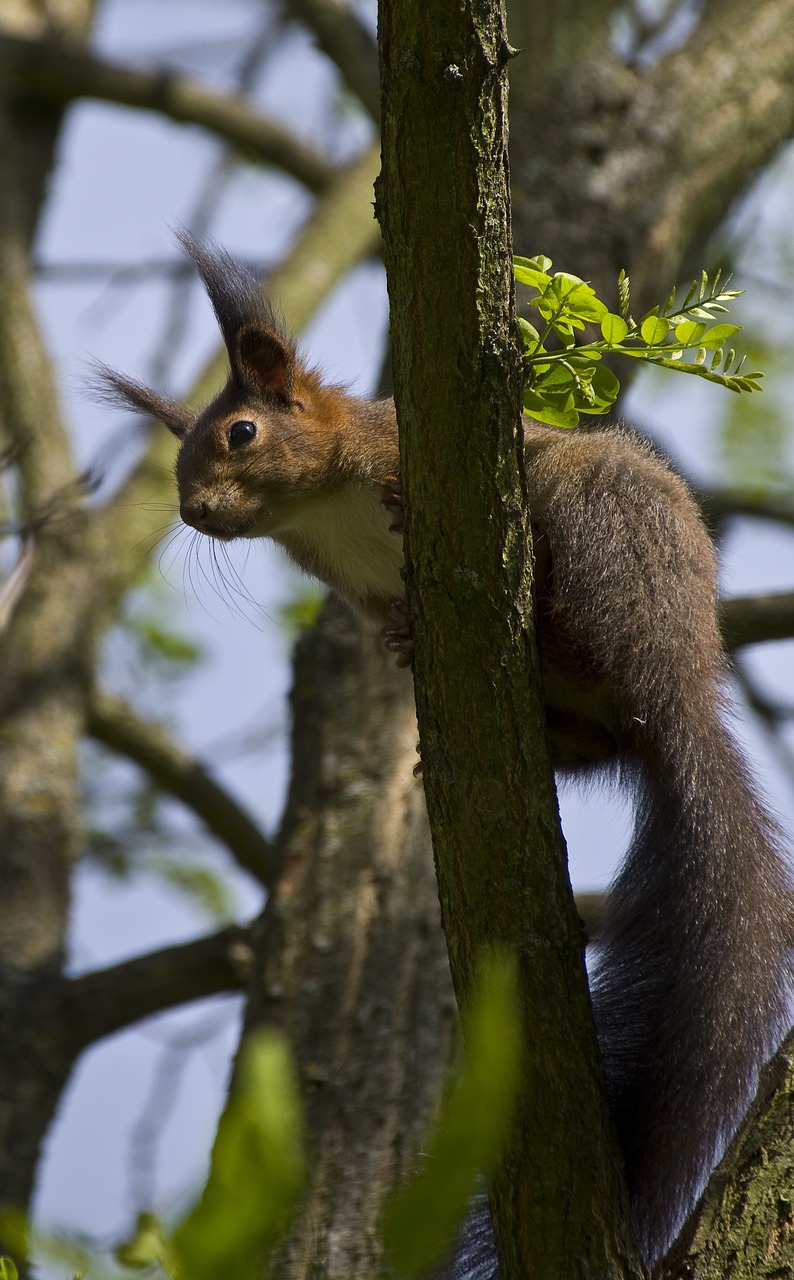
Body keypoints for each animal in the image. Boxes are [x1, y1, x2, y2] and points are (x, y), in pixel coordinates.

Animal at [102, 235, 794, 1264]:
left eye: (239, 436)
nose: (193, 512)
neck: (323, 507)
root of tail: (683, 686)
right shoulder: (353, 585)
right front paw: (399, 644)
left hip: (603, 520)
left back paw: (555, 611)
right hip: (596, 703)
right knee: (590, 736)